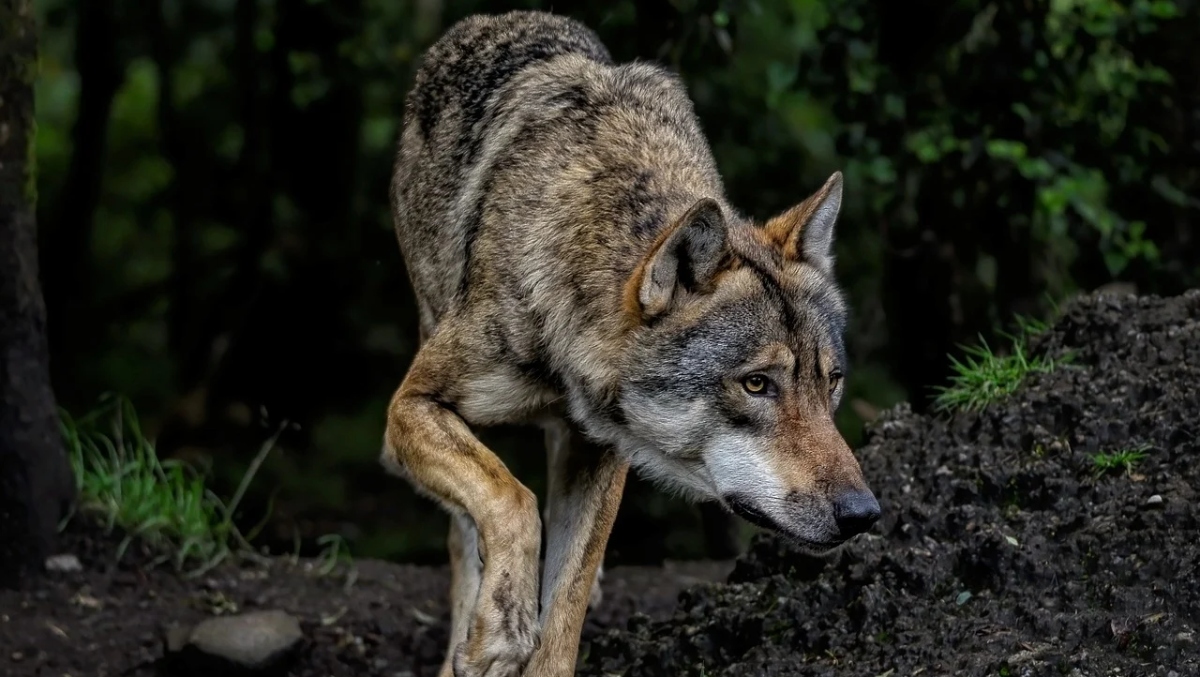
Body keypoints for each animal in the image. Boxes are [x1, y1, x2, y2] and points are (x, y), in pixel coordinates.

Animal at [384, 7, 883, 672]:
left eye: (831, 382)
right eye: (757, 385)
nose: (863, 514)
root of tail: (494, 19)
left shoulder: (602, 452)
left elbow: (564, 606)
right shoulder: (411, 405)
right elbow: (511, 499)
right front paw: (499, 629)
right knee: (466, 530)